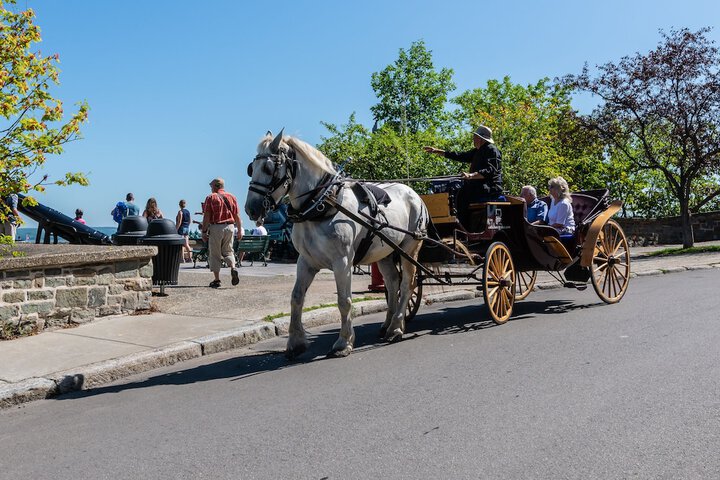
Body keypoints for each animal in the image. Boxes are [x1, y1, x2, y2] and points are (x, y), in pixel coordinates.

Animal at [245, 132, 430, 360]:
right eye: (251, 168)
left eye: (269, 168)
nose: (251, 208)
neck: (321, 204)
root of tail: (413, 192)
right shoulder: (305, 261)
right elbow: (296, 298)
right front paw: (295, 342)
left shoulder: (342, 262)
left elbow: (344, 301)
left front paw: (344, 342)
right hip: (385, 251)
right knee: (392, 282)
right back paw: (388, 324)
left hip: (410, 247)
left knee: (406, 285)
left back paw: (396, 327)